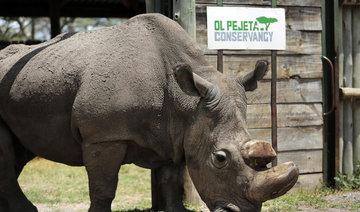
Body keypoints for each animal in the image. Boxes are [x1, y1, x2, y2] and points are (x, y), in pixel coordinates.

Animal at [0, 14, 298, 211]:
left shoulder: (176, 133)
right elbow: (103, 188)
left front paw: (178, 211)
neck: (186, 101)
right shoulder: (104, 135)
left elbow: (171, 180)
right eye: (220, 159)